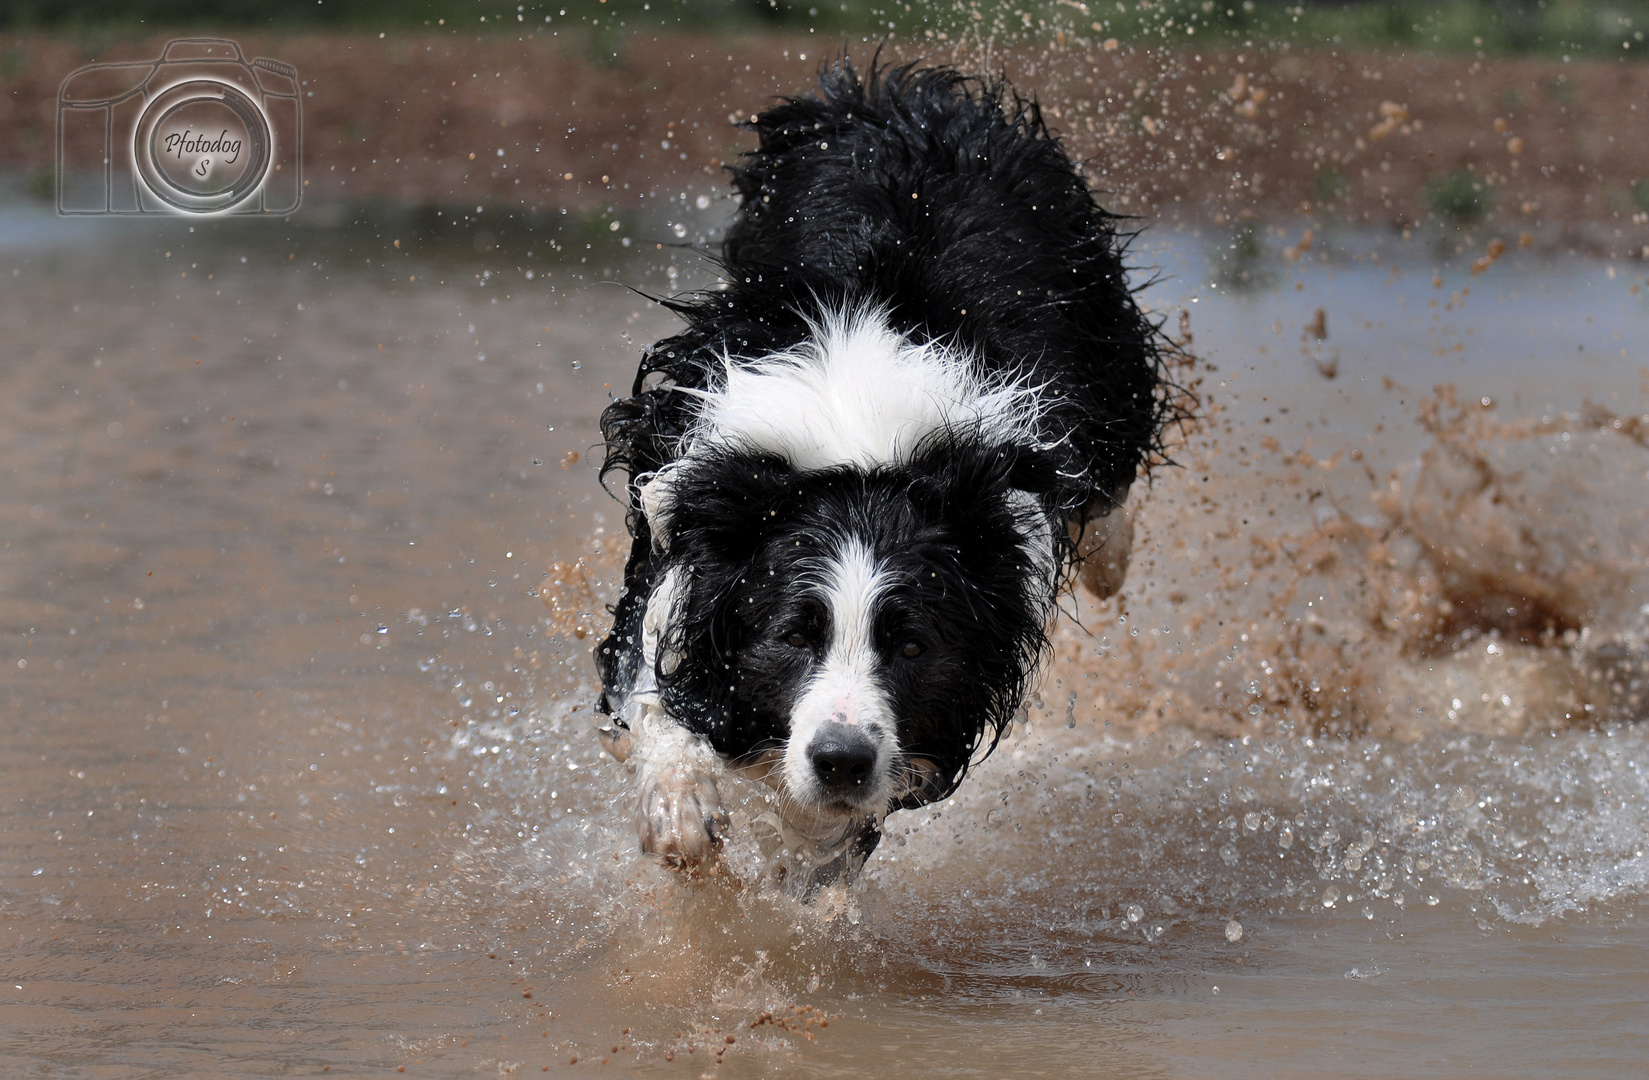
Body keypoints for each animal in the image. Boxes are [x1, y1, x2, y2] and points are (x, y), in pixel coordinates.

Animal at [587, 56, 1167, 890]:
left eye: (912, 646)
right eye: (794, 634)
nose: (841, 761)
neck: (859, 460)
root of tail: (905, 99)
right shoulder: (688, 511)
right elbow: (652, 683)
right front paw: (683, 813)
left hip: (1101, 341)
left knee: (1108, 472)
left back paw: (1109, 559)